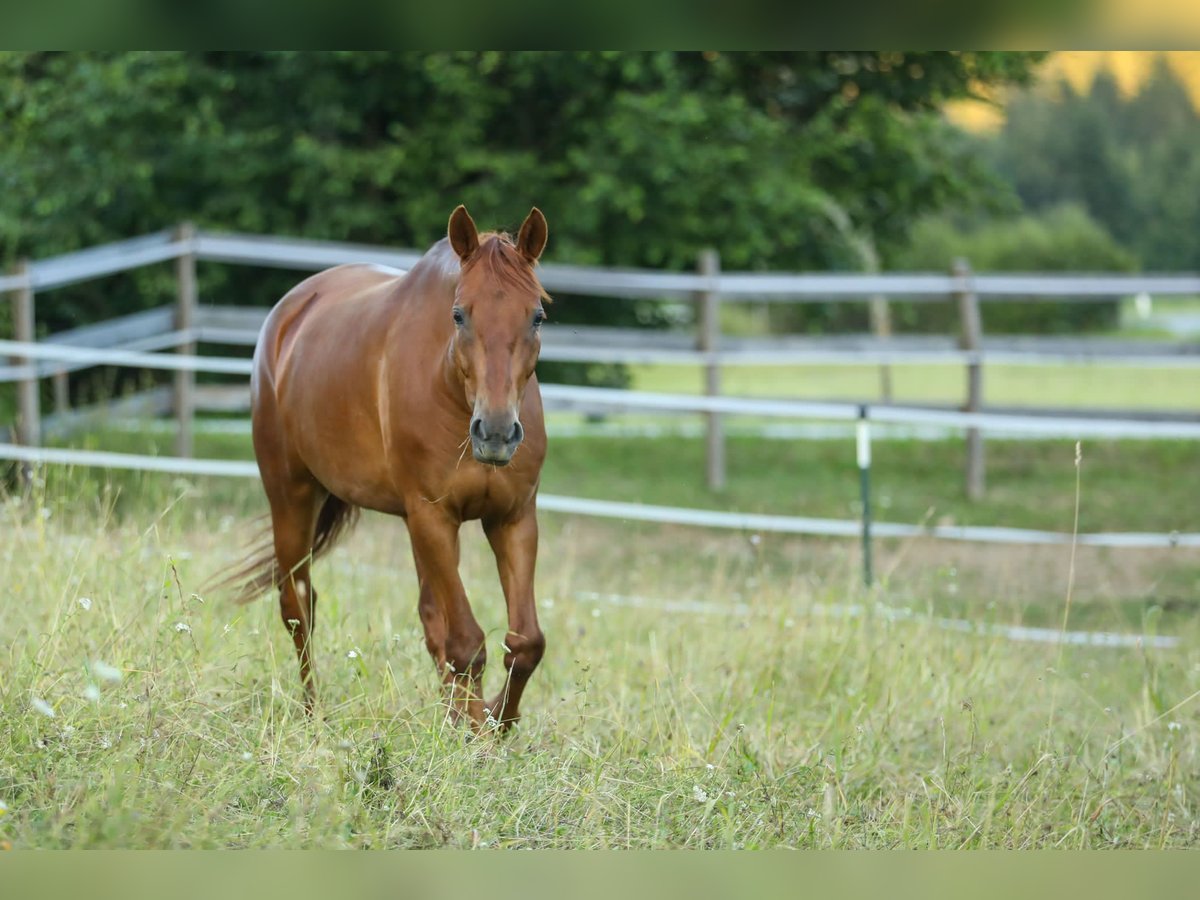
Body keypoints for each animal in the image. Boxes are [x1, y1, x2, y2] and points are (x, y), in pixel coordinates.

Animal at [226, 207, 549, 729]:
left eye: (537, 316)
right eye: (459, 314)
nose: (497, 433)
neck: (448, 387)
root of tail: (289, 313)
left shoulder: (512, 518)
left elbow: (524, 643)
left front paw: (493, 720)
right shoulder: (433, 516)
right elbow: (467, 643)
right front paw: (478, 732)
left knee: (429, 619)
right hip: (292, 496)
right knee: (298, 604)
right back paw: (313, 713)